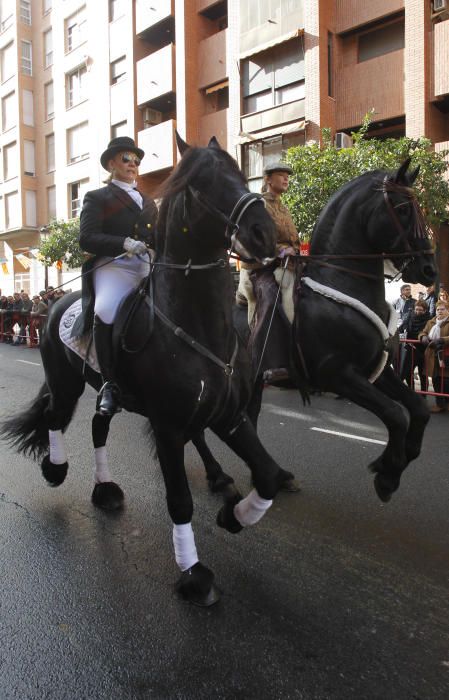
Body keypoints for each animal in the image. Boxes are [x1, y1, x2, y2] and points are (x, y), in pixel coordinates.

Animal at [0, 137, 290, 608]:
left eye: (237, 170)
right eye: (203, 183)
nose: (264, 233)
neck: (200, 327)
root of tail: (54, 304)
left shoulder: (229, 415)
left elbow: (265, 475)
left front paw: (233, 515)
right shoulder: (168, 425)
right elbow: (180, 501)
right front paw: (194, 574)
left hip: (106, 391)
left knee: (97, 428)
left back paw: (104, 490)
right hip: (65, 382)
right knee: (56, 417)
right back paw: (56, 469)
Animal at [192, 160, 434, 504]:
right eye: (402, 209)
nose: (429, 270)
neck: (340, 285)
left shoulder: (377, 369)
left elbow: (418, 409)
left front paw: (396, 461)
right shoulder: (338, 374)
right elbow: (396, 414)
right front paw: (387, 475)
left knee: (245, 417)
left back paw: (272, 475)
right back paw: (220, 478)